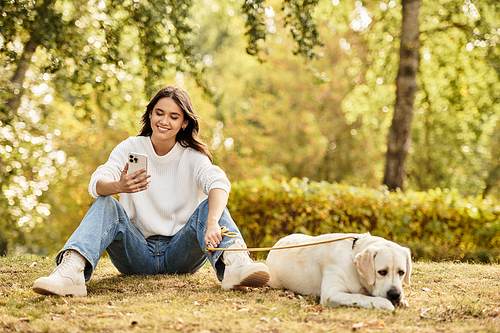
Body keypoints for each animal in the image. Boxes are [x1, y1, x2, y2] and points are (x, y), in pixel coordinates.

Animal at [268, 232, 412, 310]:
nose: (395, 294)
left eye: (401, 272)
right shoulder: (331, 294)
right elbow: (358, 296)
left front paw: (402, 301)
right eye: (382, 272)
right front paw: (383, 303)